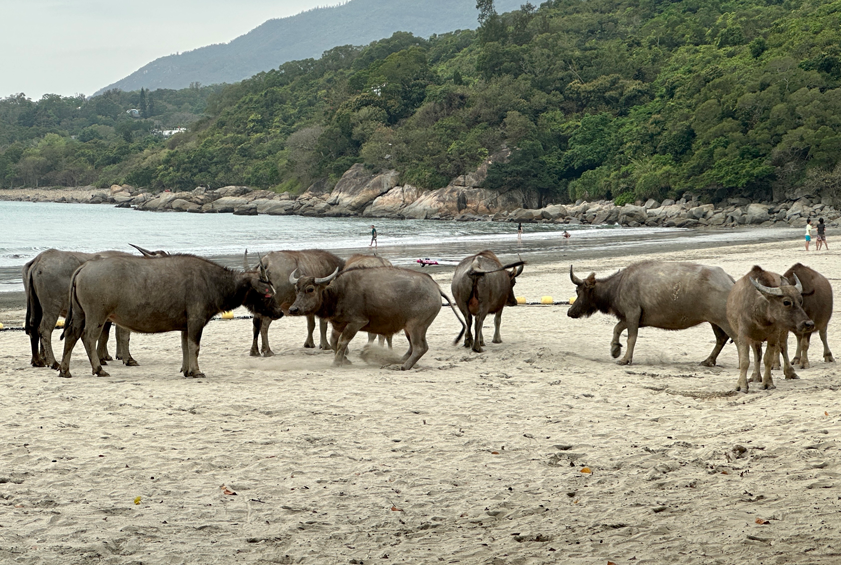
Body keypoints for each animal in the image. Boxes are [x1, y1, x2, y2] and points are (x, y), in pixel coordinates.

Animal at [57, 253, 276, 379]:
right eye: (267, 293)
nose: (279, 312)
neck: (211, 282)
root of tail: (85, 267)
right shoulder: (196, 322)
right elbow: (194, 347)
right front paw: (196, 371)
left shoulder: (186, 326)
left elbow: (185, 347)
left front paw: (187, 370)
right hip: (97, 316)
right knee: (88, 337)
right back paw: (98, 369)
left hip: (80, 315)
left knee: (71, 335)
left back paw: (65, 370)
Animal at [287, 266, 465, 370]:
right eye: (296, 289)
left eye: (310, 289)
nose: (293, 309)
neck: (338, 293)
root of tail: (435, 287)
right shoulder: (338, 324)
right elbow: (333, 342)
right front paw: (344, 360)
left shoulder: (356, 323)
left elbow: (343, 342)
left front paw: (337, 362)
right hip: (409, 328)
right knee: (412, 347)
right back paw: (398, 361)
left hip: (416, 326)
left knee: (420, 347)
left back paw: (403, 366)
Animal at [568, 261, 735, 366]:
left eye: (577, 291)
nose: (570, 312)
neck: (618, 286)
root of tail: (729, 280)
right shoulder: (633, 317)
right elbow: (617, 328)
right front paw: (615, 349)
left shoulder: (632, 313)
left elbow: (631, 338)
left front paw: (625, 359)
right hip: (714, 321)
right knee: (721, 339)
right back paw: (708, 361)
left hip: (723, 320)